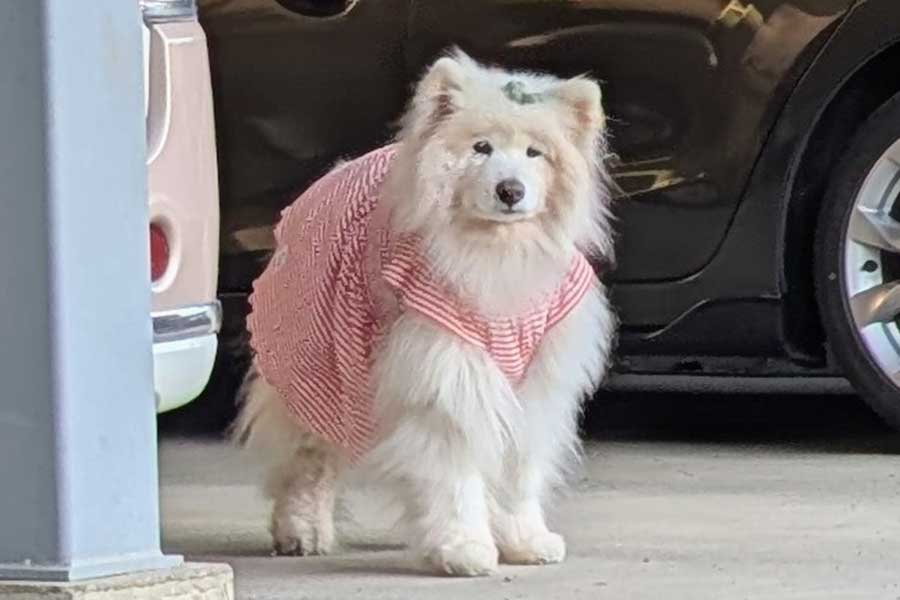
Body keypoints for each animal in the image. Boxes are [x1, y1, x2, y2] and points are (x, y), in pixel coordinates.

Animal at [232, 50, 620, 576]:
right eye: (481, 148)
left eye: (534, 154)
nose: (510, 190)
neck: (495, 255)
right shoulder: (445, 378)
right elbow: (454, 475)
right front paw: (463, 549)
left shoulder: (533, 386)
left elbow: (517, 473)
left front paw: (526, 541)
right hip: (316, 371)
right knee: (308, 462)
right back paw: (303, 533)